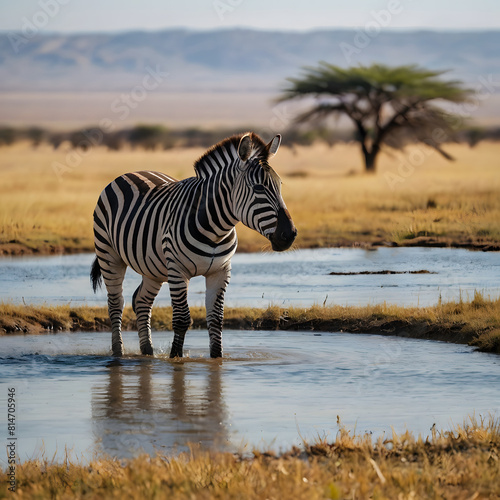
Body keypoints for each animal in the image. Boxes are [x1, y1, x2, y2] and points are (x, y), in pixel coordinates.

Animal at [91, 132, 296, 360]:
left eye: (280, 186)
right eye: (259, 188)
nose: (290, 235)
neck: (216, 230)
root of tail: (132, 172)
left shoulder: (220, 271)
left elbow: (216, 320)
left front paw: (217, 360)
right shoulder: (177, 270)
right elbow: (181, 320)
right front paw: (175, 359)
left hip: (153, 268)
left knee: (141, 301)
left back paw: (148, 352)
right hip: (109, 254)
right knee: (116, 304)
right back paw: (118, 353)